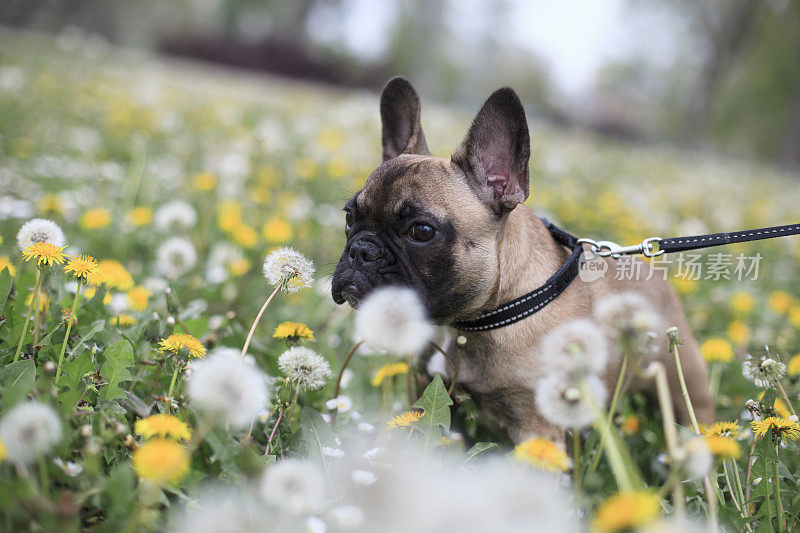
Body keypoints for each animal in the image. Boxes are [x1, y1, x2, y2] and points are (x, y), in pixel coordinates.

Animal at [328, 75, 716, 440]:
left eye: (421, 231)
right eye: (349, 217)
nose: (361, 251)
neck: (470, 322)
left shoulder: (537, 428)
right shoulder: (433, 395)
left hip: (686, 386)